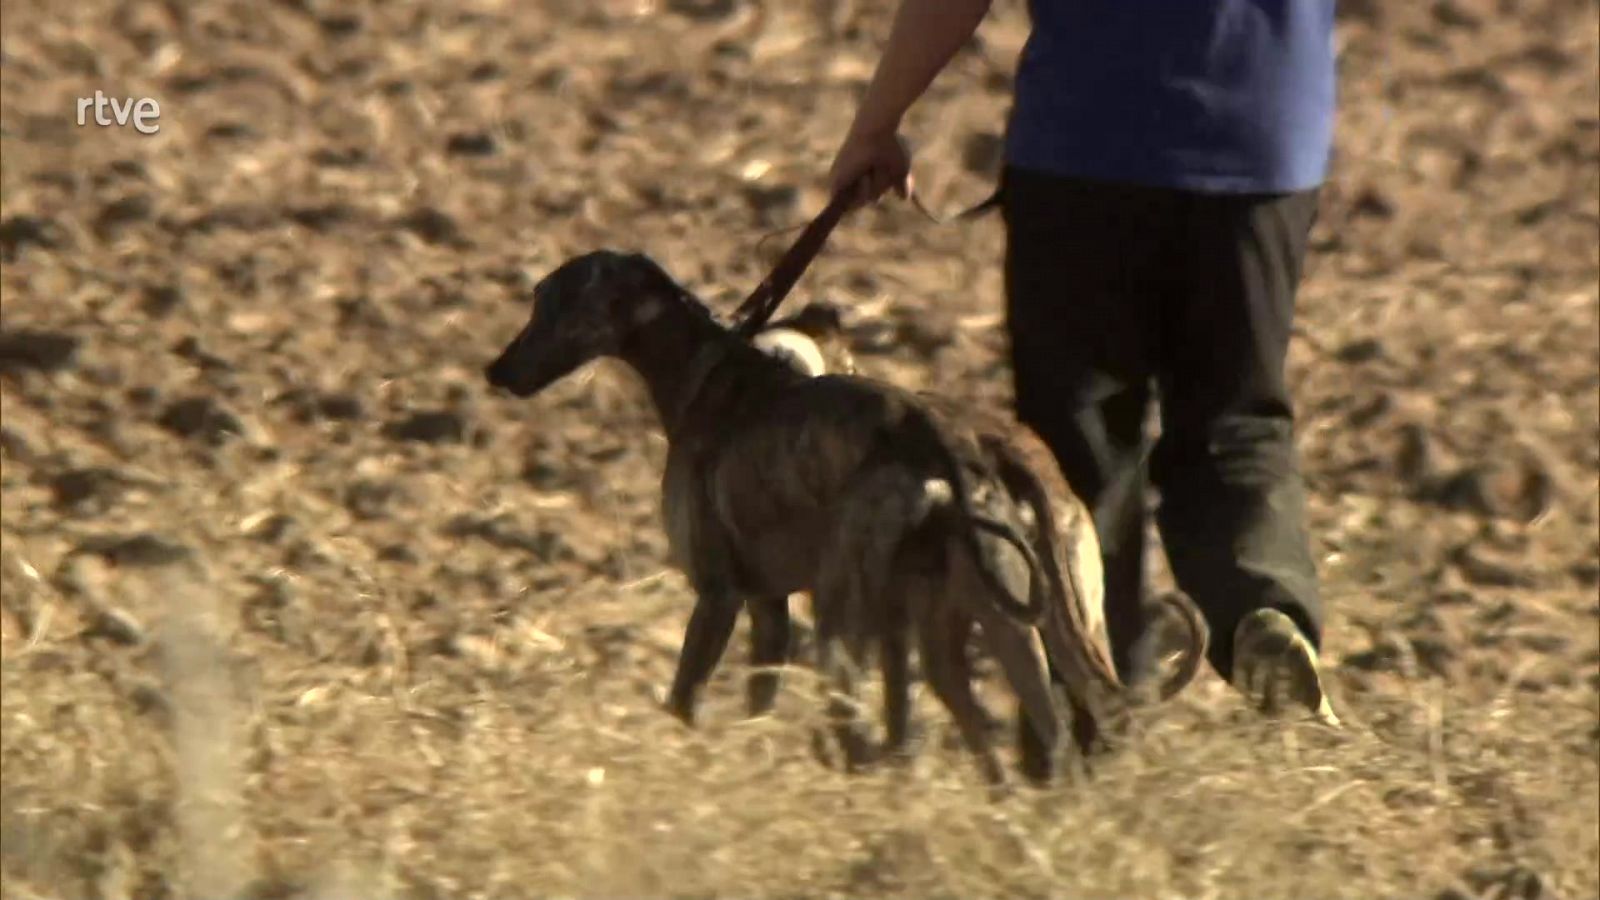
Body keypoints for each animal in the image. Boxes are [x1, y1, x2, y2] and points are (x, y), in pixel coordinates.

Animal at [486, 248, 1062, 781]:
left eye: (549, 300)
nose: (495, 370)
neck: (708, 371)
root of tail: (933, 437)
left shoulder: (718, 596)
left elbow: (683, 702)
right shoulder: (769, 608)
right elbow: (757, 706)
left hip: (843, 621)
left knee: (861, 735)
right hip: (994, 627)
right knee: (1030, 737)